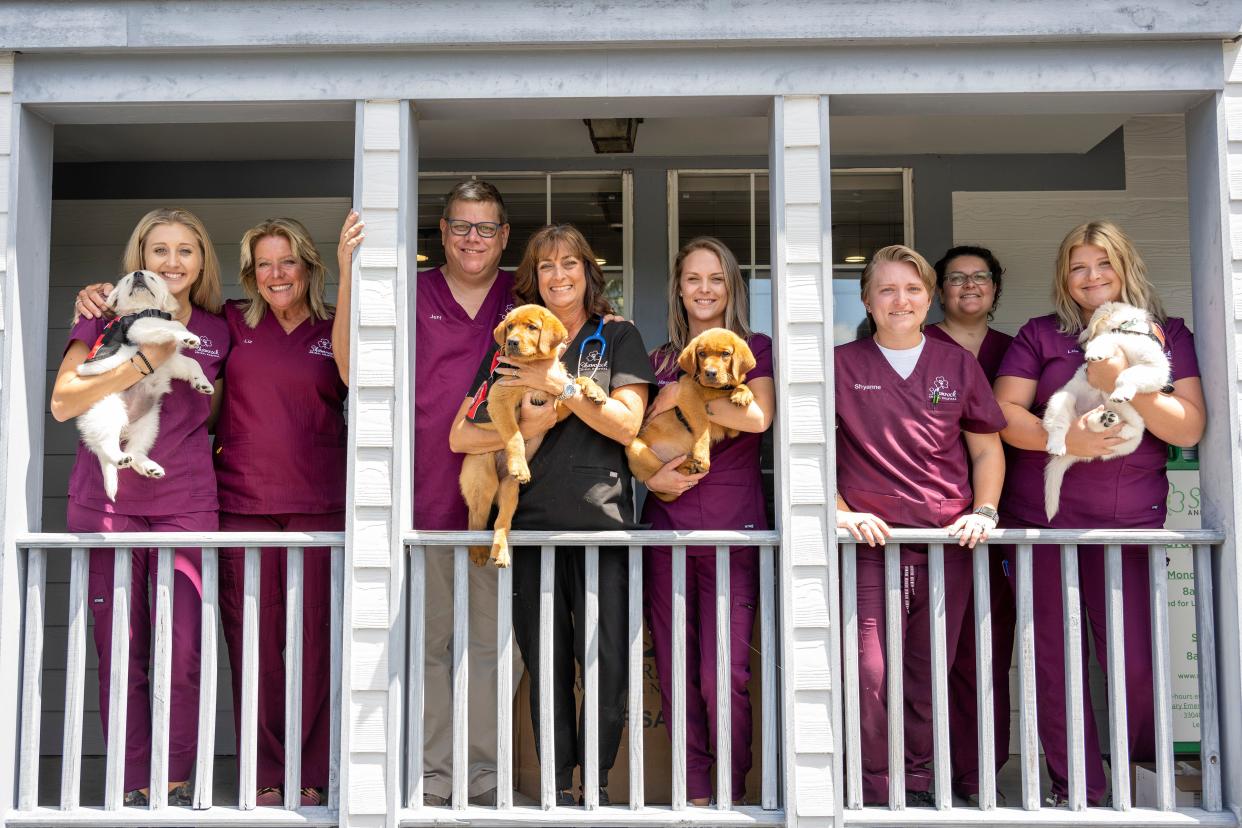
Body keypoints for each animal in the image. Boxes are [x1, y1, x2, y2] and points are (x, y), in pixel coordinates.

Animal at [77, 273, 216, 499]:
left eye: (151, 276)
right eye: (127, 280)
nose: (138, 274)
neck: (144, 309)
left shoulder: (170, 361)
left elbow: (193, 363)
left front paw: (202, 383)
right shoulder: (140, 328)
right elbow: (170, 327)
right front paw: (188, 336)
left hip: (149, 424)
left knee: (135, 450)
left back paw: (149, 466)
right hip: (108, 410)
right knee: (106, 445)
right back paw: (119, 457)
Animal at [462, 304, 606, 571]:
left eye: (532, 327)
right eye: (509, 326)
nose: (511, 342)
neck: (533, 366)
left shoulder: (556, 405)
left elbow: (575, 381)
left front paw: (595, 390)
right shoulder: (500, 400)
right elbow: (515, 435)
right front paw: (520, 464)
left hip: (510, 493)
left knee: (501, 523)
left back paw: (501, 552)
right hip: (482, 478)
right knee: (475, 520)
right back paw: (478, 552)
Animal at [625, 330, 750, 506]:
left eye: (726, 354)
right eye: (701, 354)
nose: (710, 373)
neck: (716, 390)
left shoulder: (732, 428)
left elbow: (738, 387)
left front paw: (743, 393)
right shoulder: (687, 394)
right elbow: (703, 424)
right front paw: (702, 456)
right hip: (634, 449)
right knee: (661, 469)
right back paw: (685, 465)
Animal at [1043, 301, 1167, 518]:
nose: (1079, 344)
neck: (1127, 327)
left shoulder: (1157, 369)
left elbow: (1128, 372)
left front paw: (1121, 389)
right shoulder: (1112, 340)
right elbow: (1105, 342)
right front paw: (1095, 353)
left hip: (1128, 438)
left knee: (1130, 428)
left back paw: (1111, 420)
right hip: (1062, 399)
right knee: (1058, 425)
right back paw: (1059, 444)